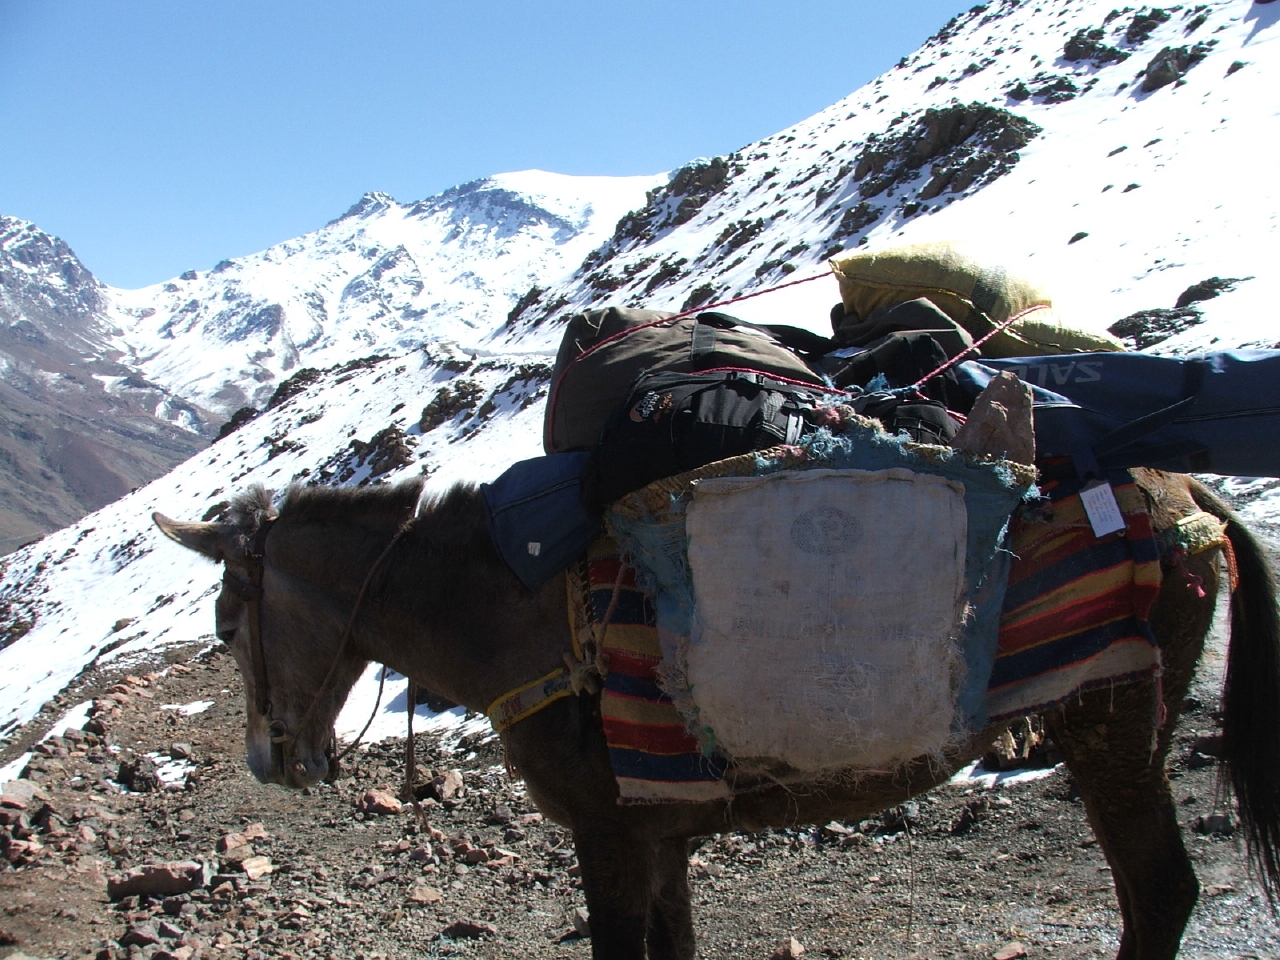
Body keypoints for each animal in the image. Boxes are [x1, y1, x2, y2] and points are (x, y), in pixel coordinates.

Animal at [153, 468, 1280, 960]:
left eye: (225, 621)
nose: (270, 761)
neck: (519, 610)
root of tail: (1188, 499)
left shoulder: (608, 835)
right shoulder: (660, 837)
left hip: (1112, 728)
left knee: (1162, 894)